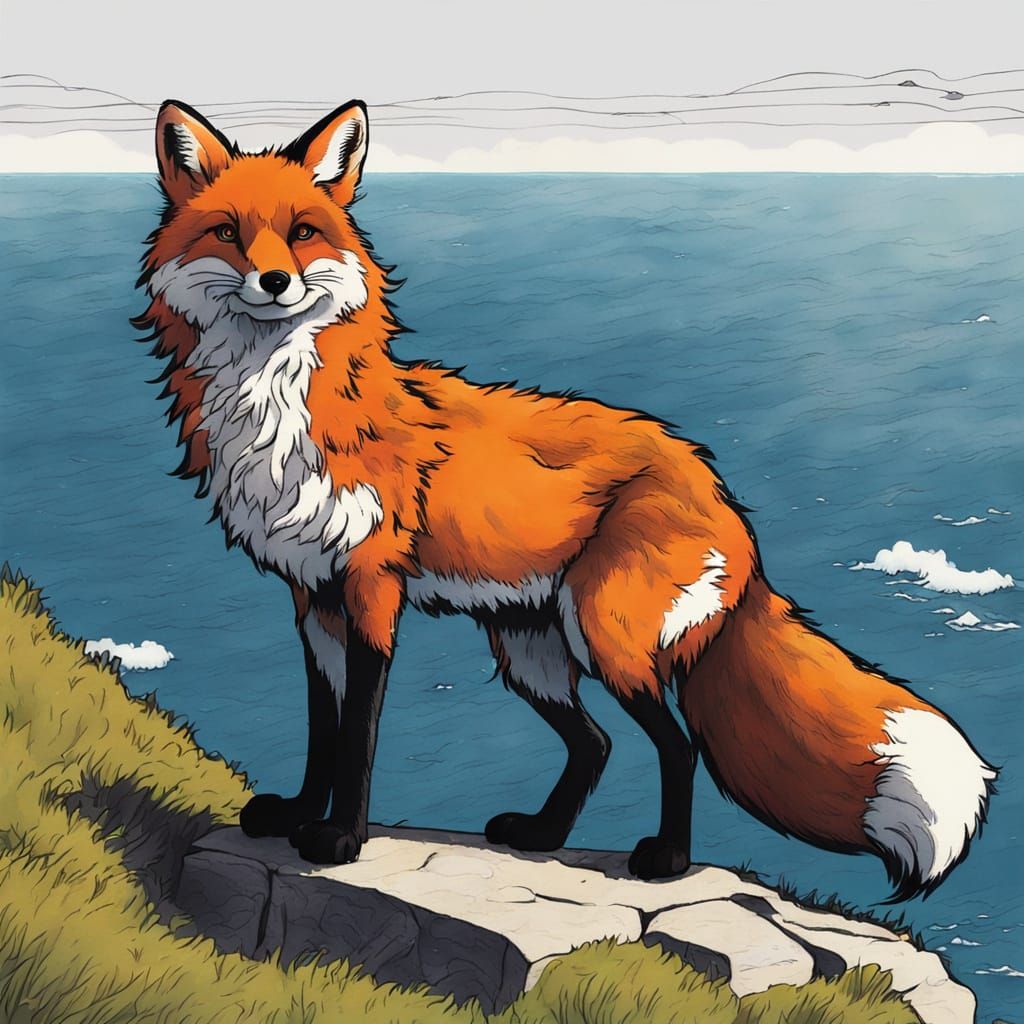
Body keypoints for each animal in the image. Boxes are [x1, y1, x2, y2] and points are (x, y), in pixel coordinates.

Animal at [135, 98, 996, 899]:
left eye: (303, 232)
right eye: (229, 233)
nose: (276, 281)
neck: (280, 409)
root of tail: (718, 488)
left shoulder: (372, 588)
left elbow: (358, 736)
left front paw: (341, 839)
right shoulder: (311, 593)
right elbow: (321, 726)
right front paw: (296, 815)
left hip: (603, 632)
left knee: (675, 745)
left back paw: (666, 861)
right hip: (531, 648)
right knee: (596, 744)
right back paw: (543, 834)